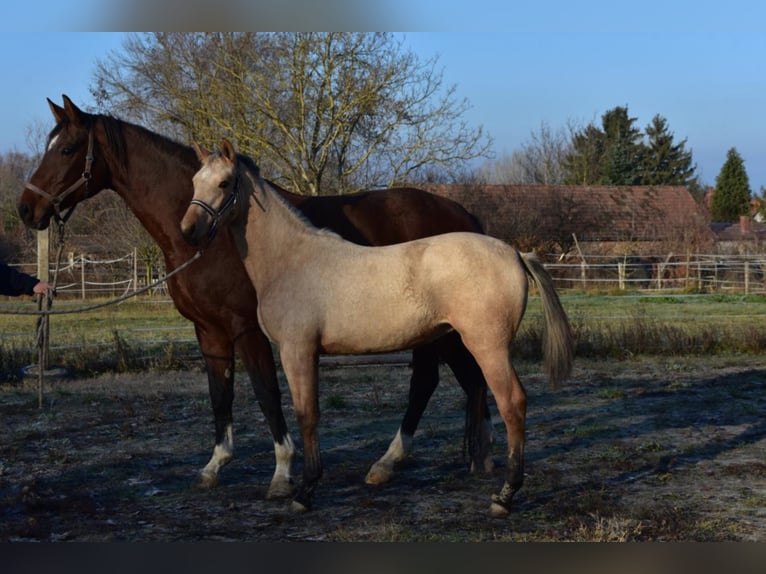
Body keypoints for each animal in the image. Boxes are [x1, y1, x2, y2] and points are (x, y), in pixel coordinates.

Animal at [17, 95, 498, 499]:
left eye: (66, 149)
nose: (26, 209)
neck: (213, 239)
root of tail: (462, 214)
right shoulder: (209, 331)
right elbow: (220, 395)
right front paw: (214, 466)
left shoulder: (247, 329)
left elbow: (267, 394)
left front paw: (283, 473)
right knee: (458, 380)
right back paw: (467, 458)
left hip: (444, 331)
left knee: (438, 381)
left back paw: (403, 461)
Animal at [180, 139, 574, 516]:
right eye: (195, 181)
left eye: (224, 183)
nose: (188, 231)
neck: (291, 260)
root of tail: (516, 254)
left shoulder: (297, 350)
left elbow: (307, 416)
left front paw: (305, 493)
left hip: (487, 346)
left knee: (512, 403)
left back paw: (504, 497)